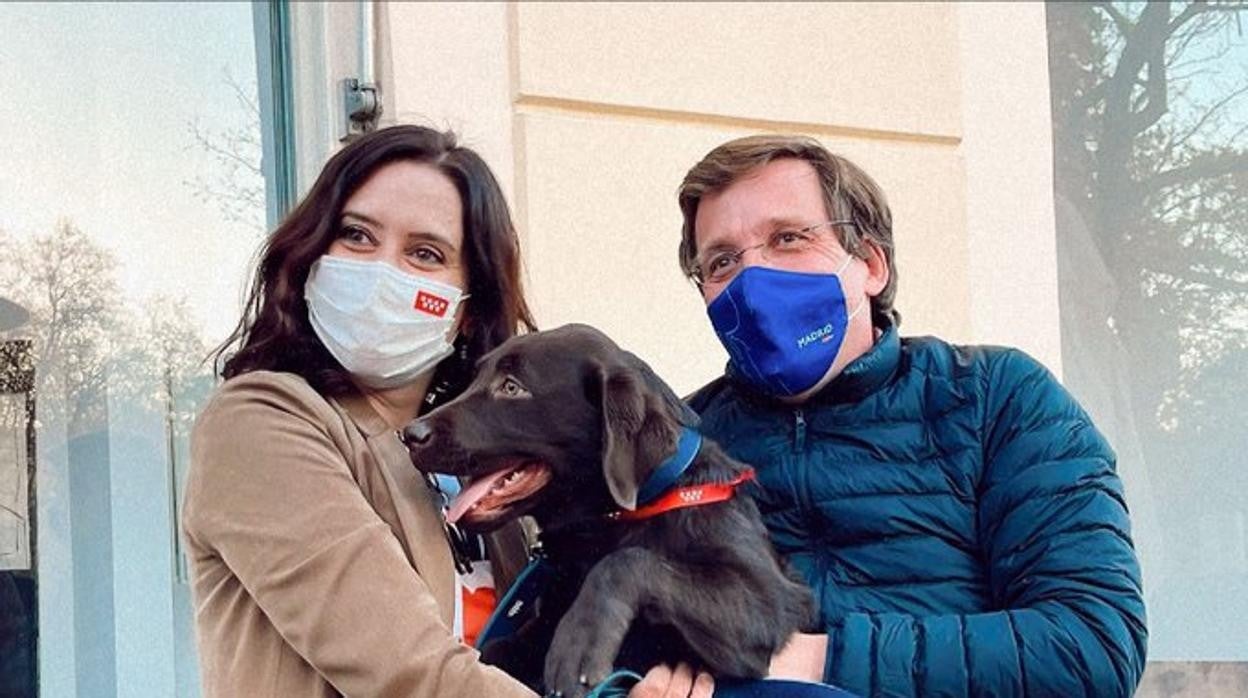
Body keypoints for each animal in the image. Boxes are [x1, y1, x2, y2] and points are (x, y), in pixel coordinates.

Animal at [404, 324, 813, 694]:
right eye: (476, 378)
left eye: (512, 387)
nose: (410, 435)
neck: (615, 520)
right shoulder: (540, 622)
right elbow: (497, 649)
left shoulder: (770, 604)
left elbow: (625, 561)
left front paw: (579, 643)